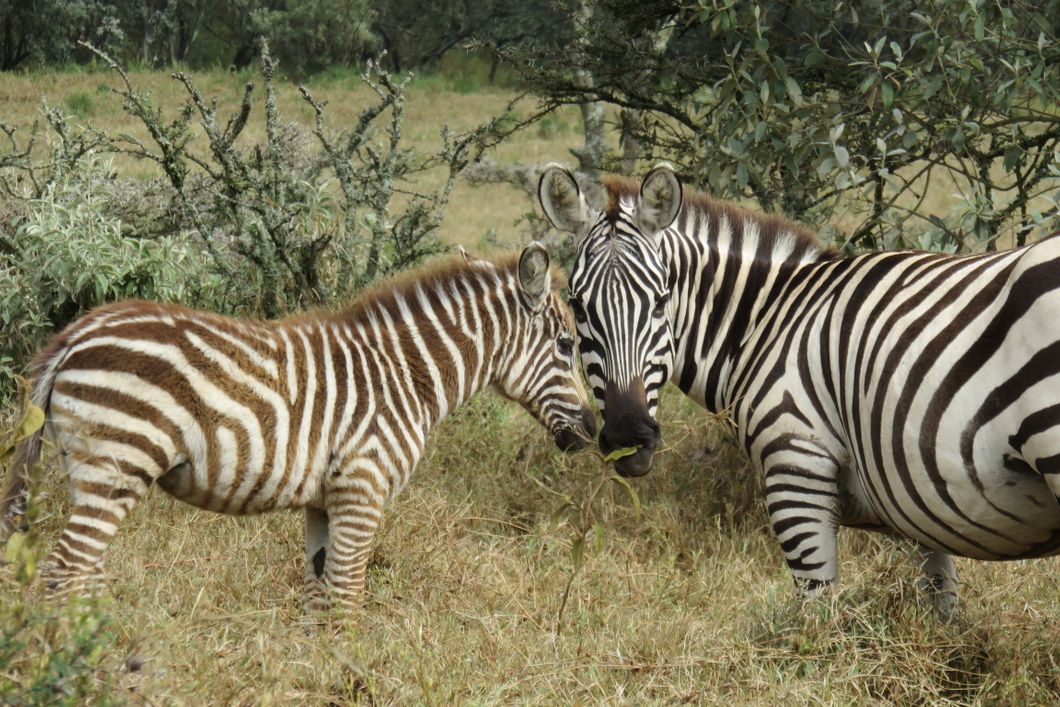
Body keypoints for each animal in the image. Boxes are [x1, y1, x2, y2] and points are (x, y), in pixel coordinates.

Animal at [0, 242, 595, 616]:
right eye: (567, 346)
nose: (591, 432)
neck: (406, 375)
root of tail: (74, 334)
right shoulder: (363, 485)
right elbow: (348, 595)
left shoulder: (324, 499)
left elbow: (318, 597)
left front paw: (320, 672)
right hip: (117, 463)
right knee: (63, 571)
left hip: (94, 473)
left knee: (83, 573)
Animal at [538, 163, 1060, 611]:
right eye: (578, 305)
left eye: (662, 300)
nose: (629, 438)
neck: (768, 320)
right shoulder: (918, 507)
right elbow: (942, 612)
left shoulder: (796, 466)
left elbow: (816, 623)